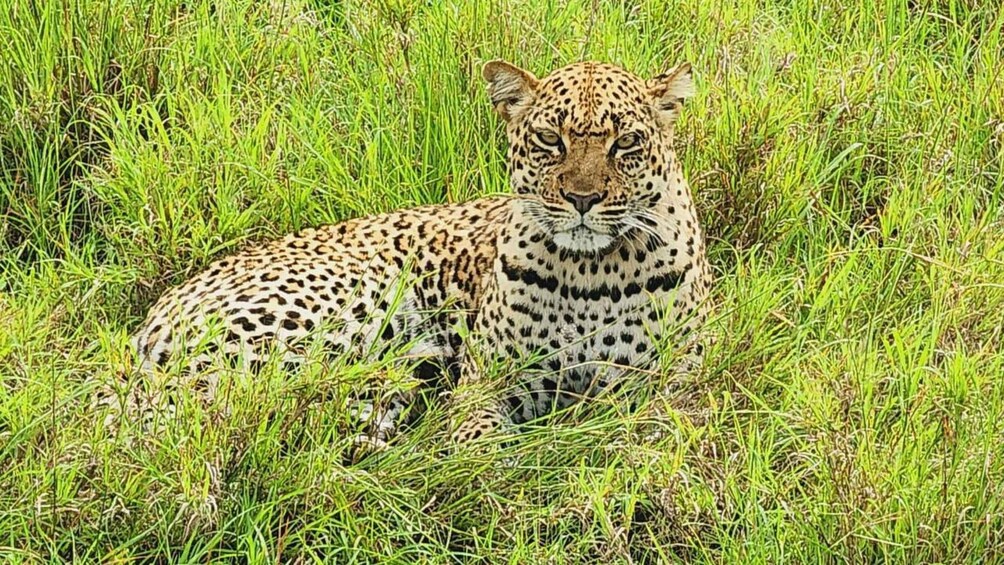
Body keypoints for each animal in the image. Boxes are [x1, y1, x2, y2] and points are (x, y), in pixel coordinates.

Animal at [107, 59, 712, 448]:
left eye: (626, 143)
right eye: (549, 140)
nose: (583, 199)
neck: (591, 271)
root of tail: (151, 320)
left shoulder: (679, 381)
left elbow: (658, 430)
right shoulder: (489, 382)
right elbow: (475, 441)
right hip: (334, 311)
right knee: (227, 412)